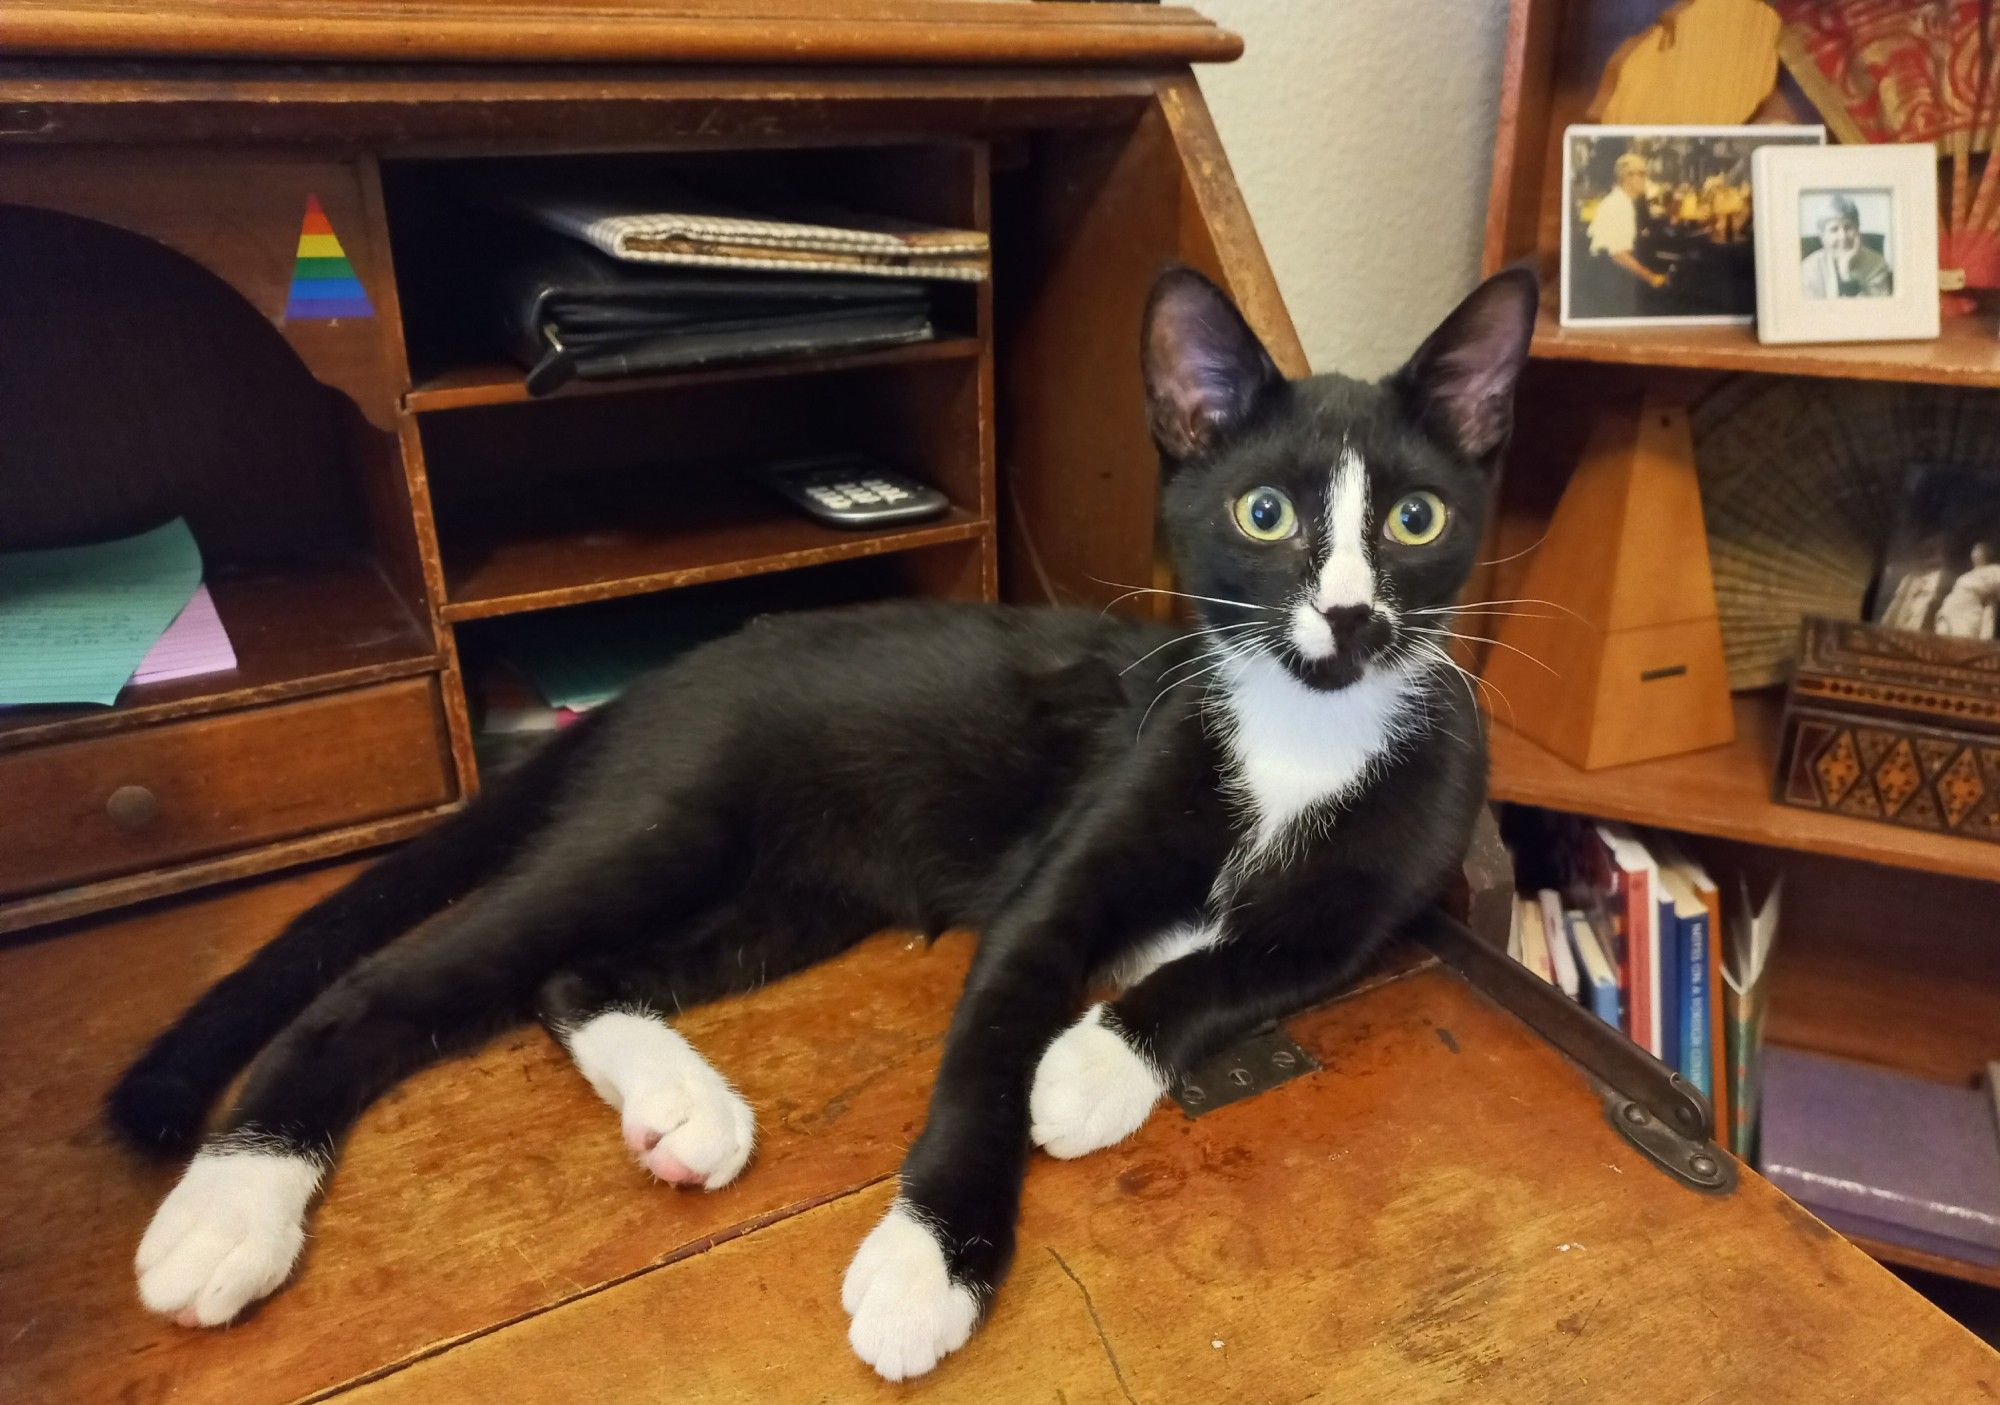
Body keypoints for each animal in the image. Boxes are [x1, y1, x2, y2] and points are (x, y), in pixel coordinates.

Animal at [109, 266, 1536, 1384]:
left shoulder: (1355, 917)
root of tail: (650, 686)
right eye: (1263, 513)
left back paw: (679, 1106)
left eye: (1413, 518)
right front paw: (931, 1259)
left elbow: (1232, 965)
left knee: (574, 976)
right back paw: (236, 1203)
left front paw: (1094, 1062)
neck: (1299, 737)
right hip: (665, 824)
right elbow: (988, 1049)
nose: (1348, 618)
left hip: (800, 891)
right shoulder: (1068, 865)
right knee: (386, 985)